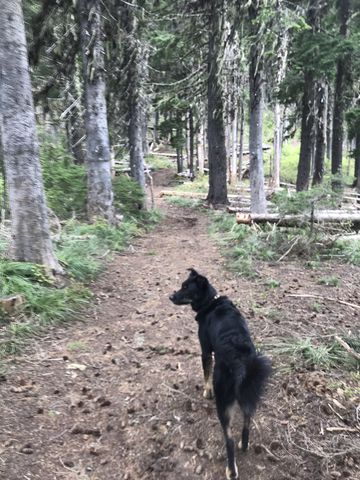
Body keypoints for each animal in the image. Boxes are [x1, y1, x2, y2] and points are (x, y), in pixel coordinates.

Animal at [169, 268, 270, 478]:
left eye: (186, 287)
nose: (170, 296)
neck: (211, 303)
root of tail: (240, 363)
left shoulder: (206, 351)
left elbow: (206, 374)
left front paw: (206, 392)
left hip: (223, 404)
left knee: (229, 440)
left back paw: (231, 470)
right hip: (249, 395)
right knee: (247, 422)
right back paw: (244, 446)